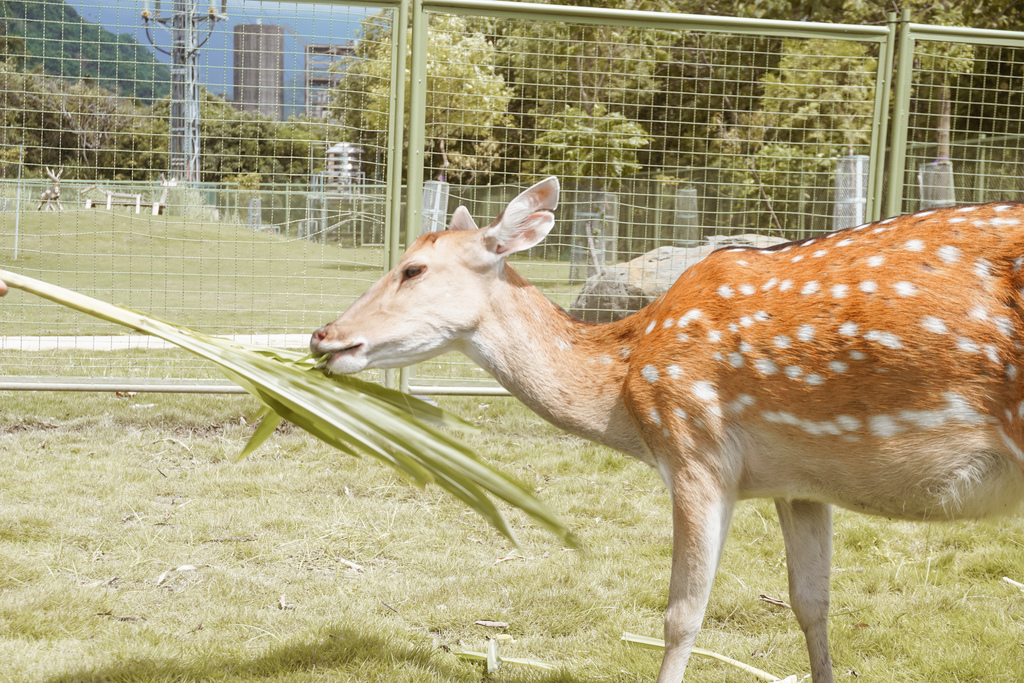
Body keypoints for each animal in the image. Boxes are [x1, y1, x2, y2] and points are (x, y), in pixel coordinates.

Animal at [307, 179, 1024, 679]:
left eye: (413, 268)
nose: (323, 336)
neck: (626, 384)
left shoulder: (694, 448)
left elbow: (681, 615)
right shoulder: (800, 482)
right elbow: (812, 604)